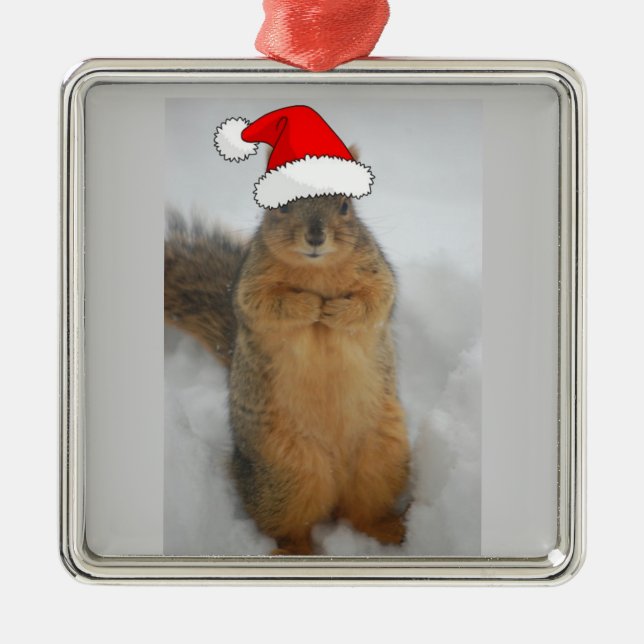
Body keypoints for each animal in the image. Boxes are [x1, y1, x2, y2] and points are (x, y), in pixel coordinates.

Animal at [165, 193, 410, 556]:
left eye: (344, 206)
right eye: (280, 206)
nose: (316, 237)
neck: (316, 270)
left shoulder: (376, 271)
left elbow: (376, 300)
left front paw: (336, 310)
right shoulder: (251, 284)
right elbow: (265, 305)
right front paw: (309, 305)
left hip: (383, 458)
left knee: (363, 512)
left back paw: (390, 529)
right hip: (286, 473)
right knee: (290, 524)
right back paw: (292, 550)